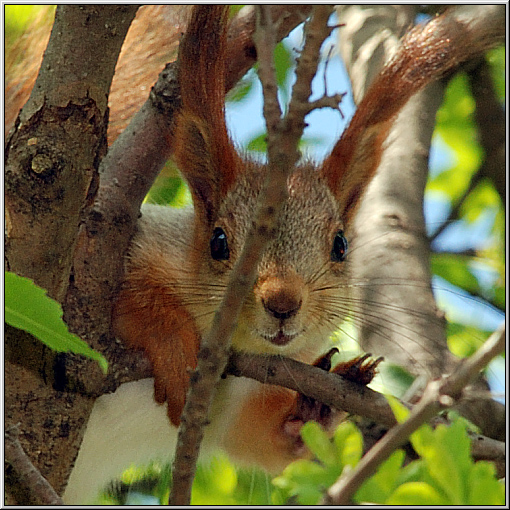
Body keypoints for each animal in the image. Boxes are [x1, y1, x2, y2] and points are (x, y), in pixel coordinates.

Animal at [3, 4, 504, 506]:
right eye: (218, 241)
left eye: (341, 245)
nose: (282, 303)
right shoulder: (116, 251)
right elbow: (126, 299)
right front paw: (173, 345)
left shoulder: (240, 404)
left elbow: (268, 439)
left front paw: (317, 404)